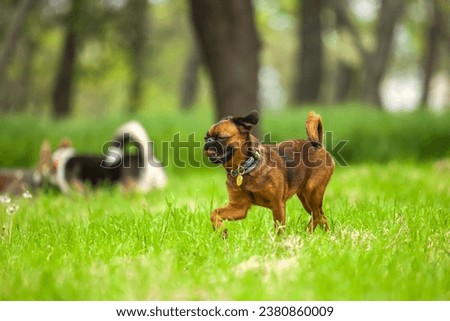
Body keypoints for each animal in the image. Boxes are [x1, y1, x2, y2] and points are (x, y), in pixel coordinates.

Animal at [204, 110, 334, 235]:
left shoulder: (278, 205)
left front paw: (279, 242)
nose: (208, 141)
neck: (246, 168)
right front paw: (221, 230)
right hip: (305, 197)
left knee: (317, 215)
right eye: (206, 138)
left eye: (221, 137)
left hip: (312, 193)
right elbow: (214, 213)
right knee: (320, 217)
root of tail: (318, 145)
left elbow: (279, 229)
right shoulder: (239, 208)